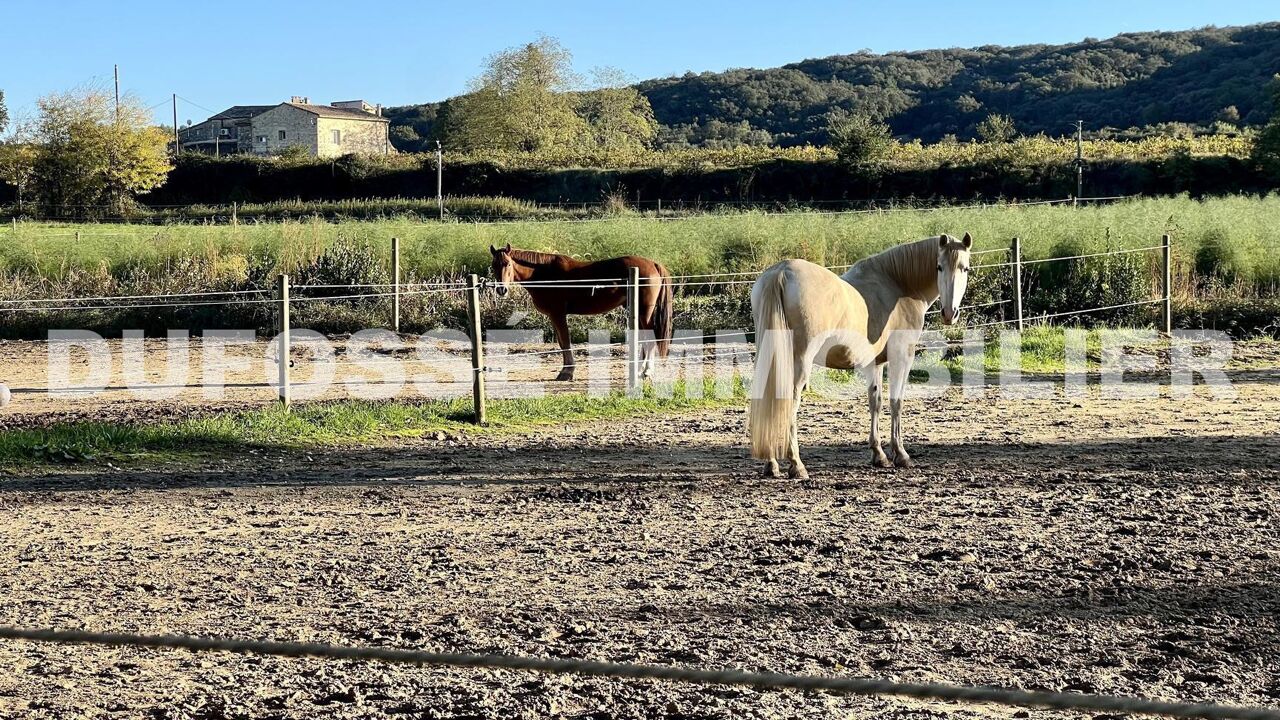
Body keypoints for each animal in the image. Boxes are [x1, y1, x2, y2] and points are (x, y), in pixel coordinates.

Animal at [483, 242, 675, 379]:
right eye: (493, 265)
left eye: (507, 264)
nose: (501, 290)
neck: (543, 274)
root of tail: (653, 264)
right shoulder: (554, 316)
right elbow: (562, 343)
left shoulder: (558, 315)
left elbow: (566, 342)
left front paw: (567, 373)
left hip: (644, 312)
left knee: (650, 339)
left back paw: (646, 371)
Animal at [747, 230, 967, 476]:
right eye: (939, 267)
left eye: (965, 268)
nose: (949, 313)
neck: (898, 285)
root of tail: (781, 271)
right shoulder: (902, 356)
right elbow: (896, 402)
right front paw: (901, 455)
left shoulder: (875, 363)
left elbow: (875, 401)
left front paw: (879, 455)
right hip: (800, 361)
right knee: (788, 401)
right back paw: (797, 464)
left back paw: (771, 464)